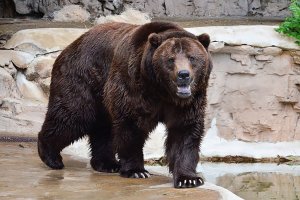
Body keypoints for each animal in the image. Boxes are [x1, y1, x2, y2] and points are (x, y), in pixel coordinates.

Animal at [38, 22, 211, 189]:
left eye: (192, 57)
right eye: (170, 59)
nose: (183, 74)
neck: (162, 92)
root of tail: (69, 46)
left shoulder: (188, 102)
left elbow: (184, 132)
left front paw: (188, 179)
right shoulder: (132, 85)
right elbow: (131, 126)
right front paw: (136, 171)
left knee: (103, 127)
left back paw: (107, 163)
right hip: (83, 77)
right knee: (73, 115)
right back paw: (52, 157)